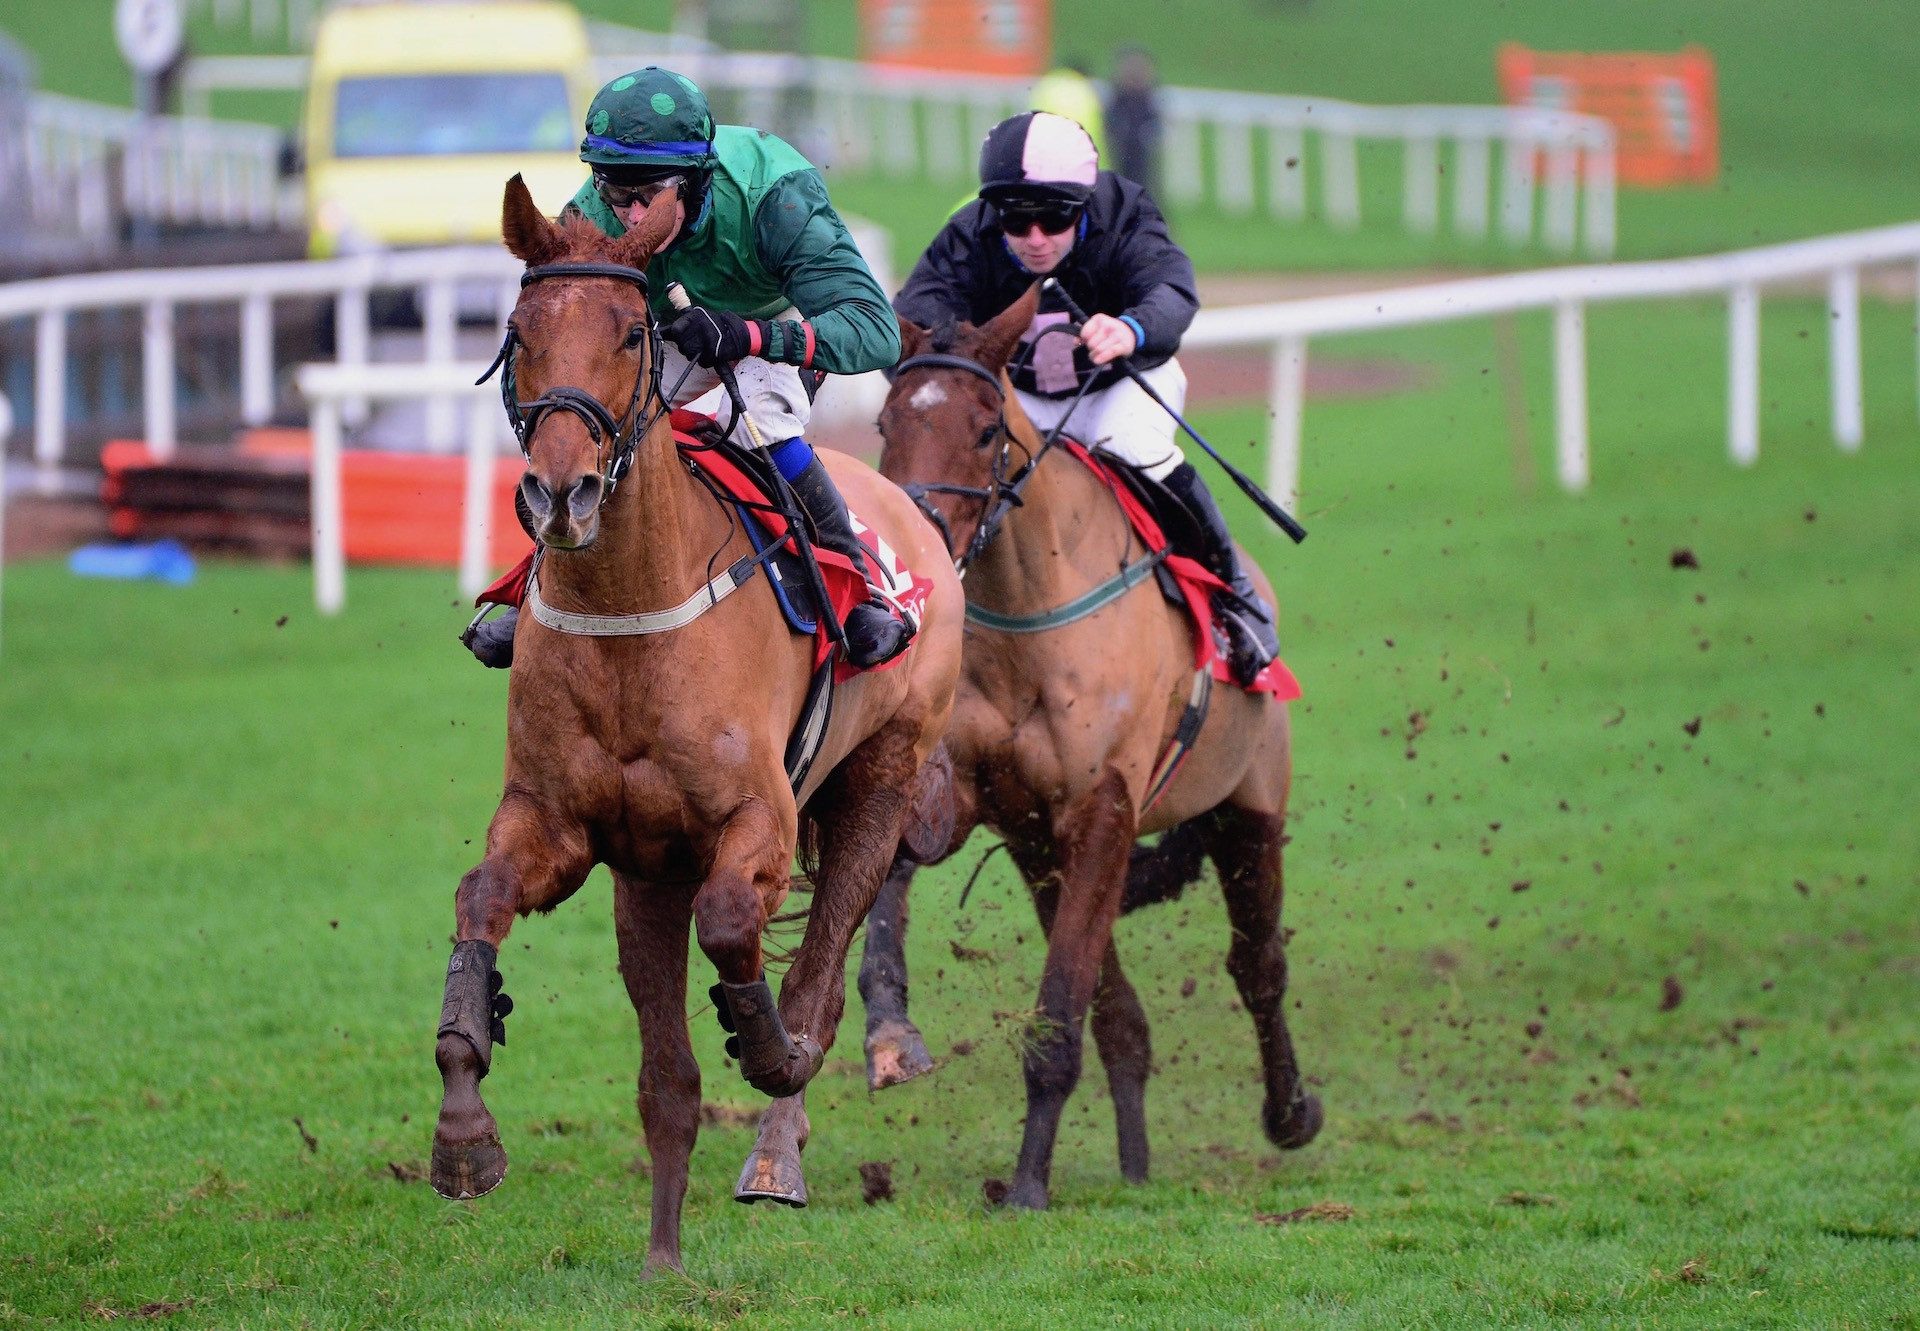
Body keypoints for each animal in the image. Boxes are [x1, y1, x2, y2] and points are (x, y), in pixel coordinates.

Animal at [432, 170, 960, 1275]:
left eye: (636, 331)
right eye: (518, 330)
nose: (560, 492)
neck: (633, 617)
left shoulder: (756, 821)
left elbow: (737, 933)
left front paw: (760, 1040)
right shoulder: (565, 826)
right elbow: (479, 900)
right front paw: (464, 1133)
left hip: (880, 785)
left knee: (822, 980)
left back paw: (775, 1145)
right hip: (648, 872)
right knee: (666, 1080)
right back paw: (664, 1253)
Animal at [856, 290, 1320, 1206]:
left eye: (986, 429)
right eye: (888, 421)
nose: (917, 533)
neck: (1027, 615)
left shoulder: (1103, 809)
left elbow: (1060, 1010)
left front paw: (1027, 1185)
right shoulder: (978, 800)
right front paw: (890, 1026)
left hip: (1246, 809)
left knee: (1258, 966)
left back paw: (1290, 1113)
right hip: (1043, 854)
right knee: (1125, 1017)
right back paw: (1136, 1164)